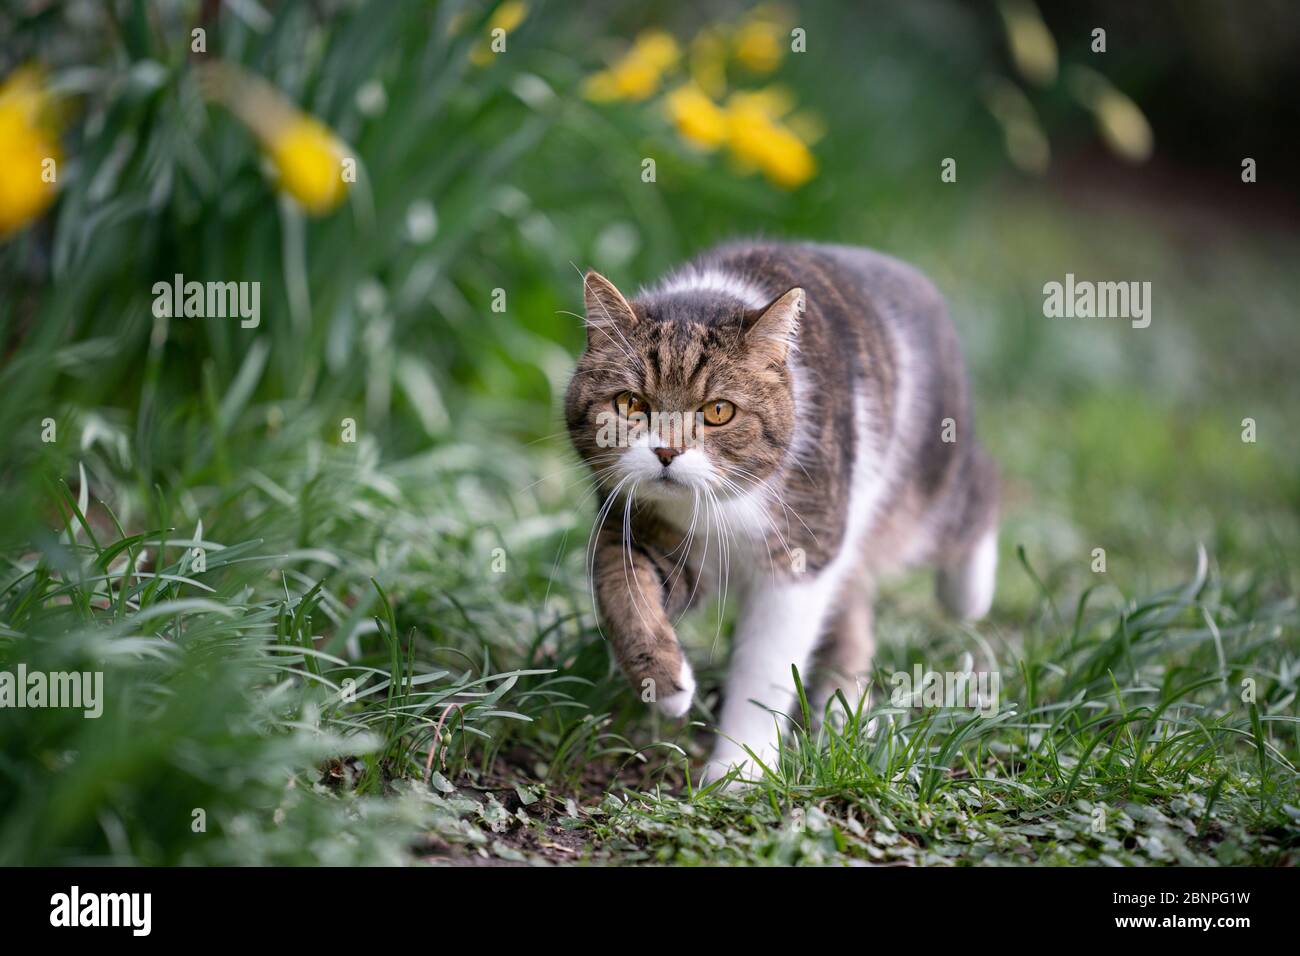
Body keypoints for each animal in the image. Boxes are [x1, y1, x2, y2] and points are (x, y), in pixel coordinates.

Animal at [564, 240, 998, 785]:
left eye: (718, 411)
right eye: (630, 403)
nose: (666, 452)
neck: (720, 507)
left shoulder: (803, 551)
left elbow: (767, 667)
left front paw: (740, 770)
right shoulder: (644, 530)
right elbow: (622, 591)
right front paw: (664, 685)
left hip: (924, 488)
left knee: (978, 495)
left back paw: (969, 596)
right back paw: (846, 714)